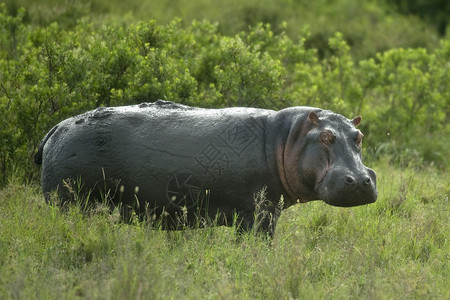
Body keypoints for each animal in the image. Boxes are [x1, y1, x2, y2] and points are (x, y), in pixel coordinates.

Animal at [35, 99, 378, 236]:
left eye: (359, 136)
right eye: (325, 136)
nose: (362, 180)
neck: (287, 138)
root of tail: (54, 130)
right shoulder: (259, 213)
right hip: (70, 203)